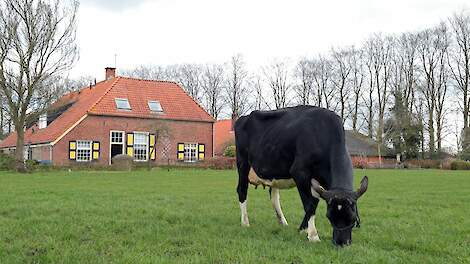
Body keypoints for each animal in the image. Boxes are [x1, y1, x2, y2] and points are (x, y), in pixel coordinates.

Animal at [234, 106, 368, 246]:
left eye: (352, 218)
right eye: (329, 216)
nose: (341, 243)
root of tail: (242, 118)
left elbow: (314, 202)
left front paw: (303, 229)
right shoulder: (300, 173)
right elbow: (310, 204)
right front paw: (313, 235)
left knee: (274, 196)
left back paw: (283, 222)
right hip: (243, 163)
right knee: (242, 190)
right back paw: (245, 222)